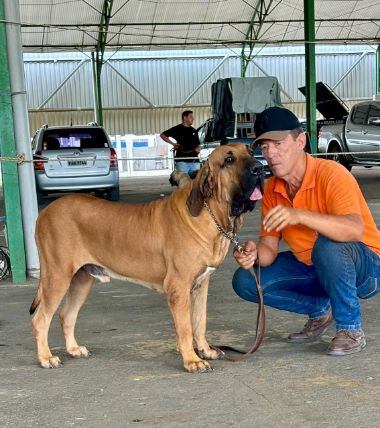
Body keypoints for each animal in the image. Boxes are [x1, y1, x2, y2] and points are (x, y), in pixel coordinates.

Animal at [30, 143, 264, 372]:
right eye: (229, 159)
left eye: (251, 151)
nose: (260, 168)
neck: (211, 214)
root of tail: (44, 213)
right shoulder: (178, 286)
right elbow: (186, 327)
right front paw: (192, 360)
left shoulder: (201, 284)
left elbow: (200, 321)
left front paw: (205, 350)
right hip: (57, 276)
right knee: (40, 319)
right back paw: (46, 357)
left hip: (82, 279)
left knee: (66, 315)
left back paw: (73, 349)